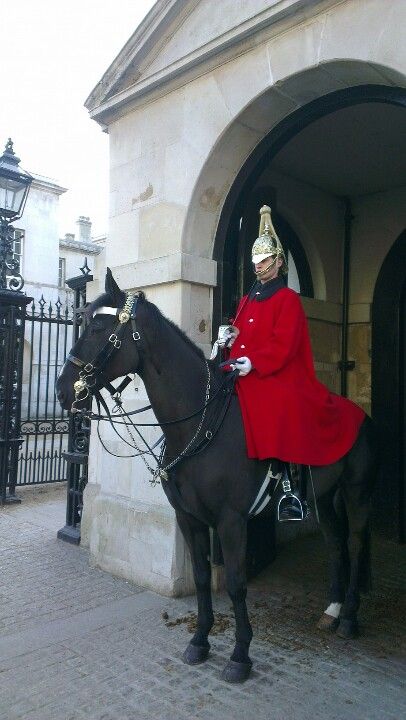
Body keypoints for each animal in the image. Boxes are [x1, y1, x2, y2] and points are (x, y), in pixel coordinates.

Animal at [55, 268, 376, 680]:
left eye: (97, 328)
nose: (64, 391)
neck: (200, 422)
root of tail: (359, 413)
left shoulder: (231, 520)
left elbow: (237, 584)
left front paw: (240, 655)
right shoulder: (189, 518)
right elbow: (202, 576)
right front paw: (200, 641)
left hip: (357, 493)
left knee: (355, 542)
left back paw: (349, 618)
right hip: (324, 498)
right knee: (336, 545)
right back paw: (332, 611)